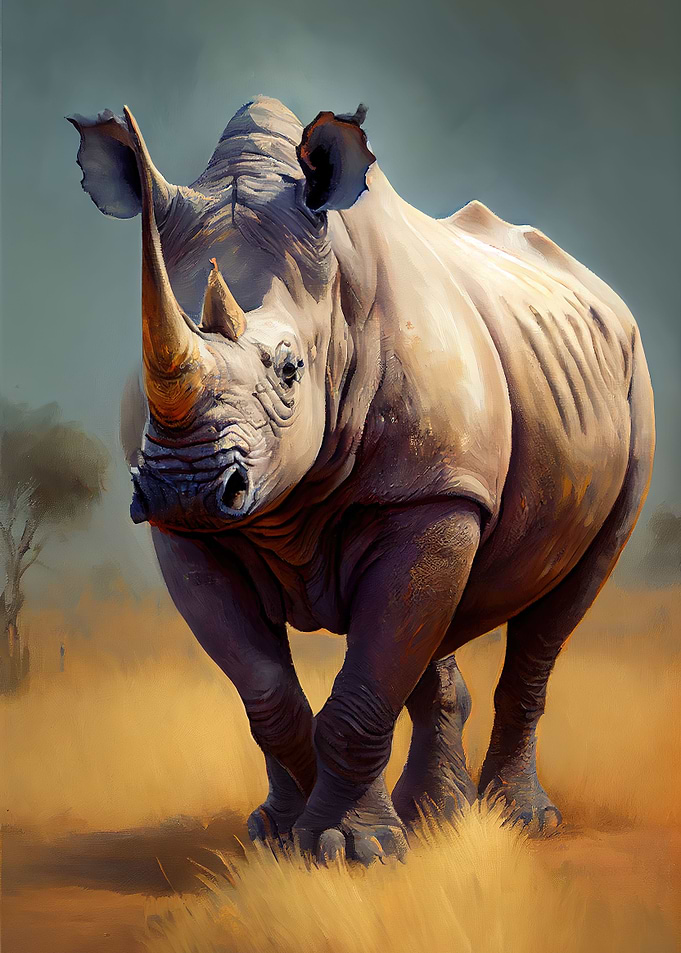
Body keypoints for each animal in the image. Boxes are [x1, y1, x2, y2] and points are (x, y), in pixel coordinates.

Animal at [68, 97, 654, 863]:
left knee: (561, 603)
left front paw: (349, 851)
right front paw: (283, 834)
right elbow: (271, 690)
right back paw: (435, 816)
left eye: (290, 370)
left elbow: (367, 679)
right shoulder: (188, 536)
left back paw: (519, 821)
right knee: (440, 613)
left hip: (633, 388)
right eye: (141, 381)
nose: (187, 486)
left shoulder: (430, 489)